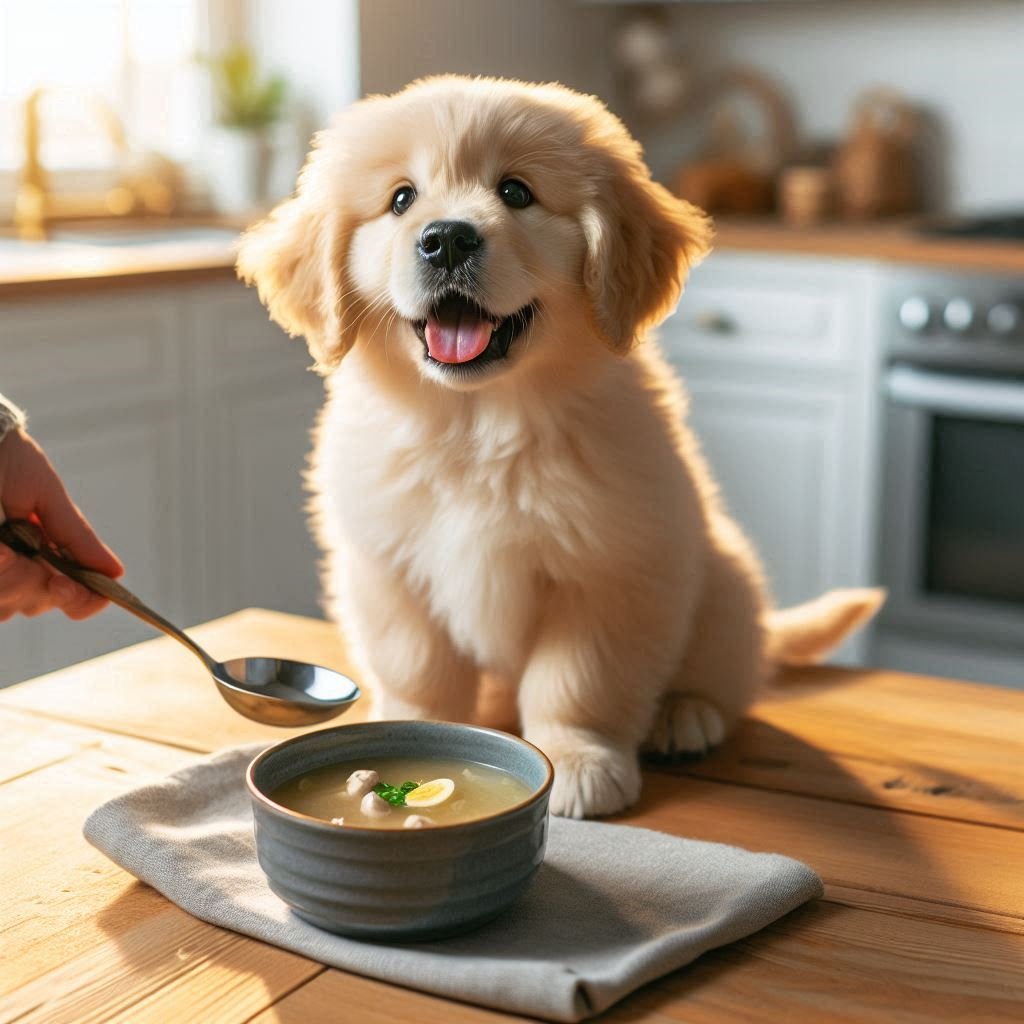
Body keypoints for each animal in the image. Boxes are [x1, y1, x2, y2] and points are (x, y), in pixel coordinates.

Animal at [237, 75, 880, 819]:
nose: (446, 239)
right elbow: (419, 670)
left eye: (516, 192)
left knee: (726, 676)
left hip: (724, 582)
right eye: (401, 199)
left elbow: (576, 683)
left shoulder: (606, 572)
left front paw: (578, 758)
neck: (475, 426)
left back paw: (685, 714)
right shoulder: (388, 570)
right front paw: (410, 727)